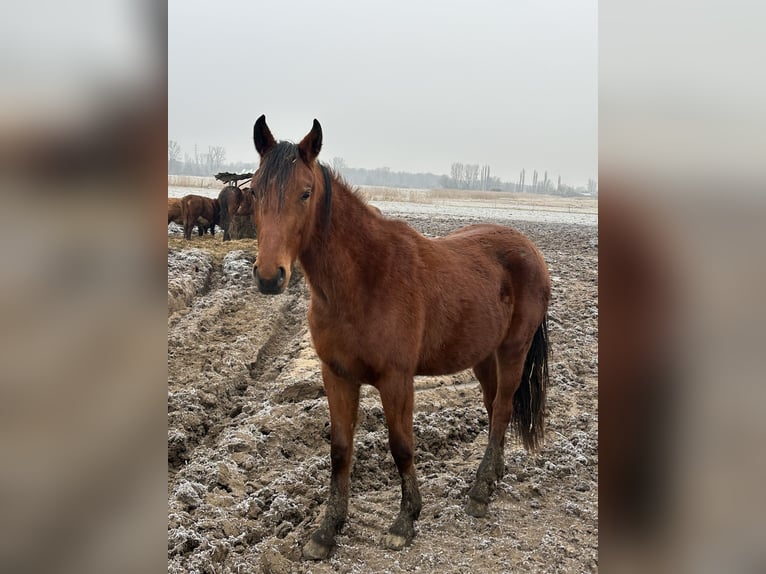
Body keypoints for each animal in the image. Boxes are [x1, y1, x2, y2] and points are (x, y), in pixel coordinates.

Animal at [250, 117, 552, 564]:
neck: (364, 280)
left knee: (500, 410)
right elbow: (340, 449)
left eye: (305, 193)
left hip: (513, 350)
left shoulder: (396, 380)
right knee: (497, 405)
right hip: (484, 356)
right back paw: (494, 475)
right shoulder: (336, 375)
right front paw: (327, 531)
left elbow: (402, 446)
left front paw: (405, 521)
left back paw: (480, 493)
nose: (270, 277)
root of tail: (528, 247)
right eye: (254, 190)